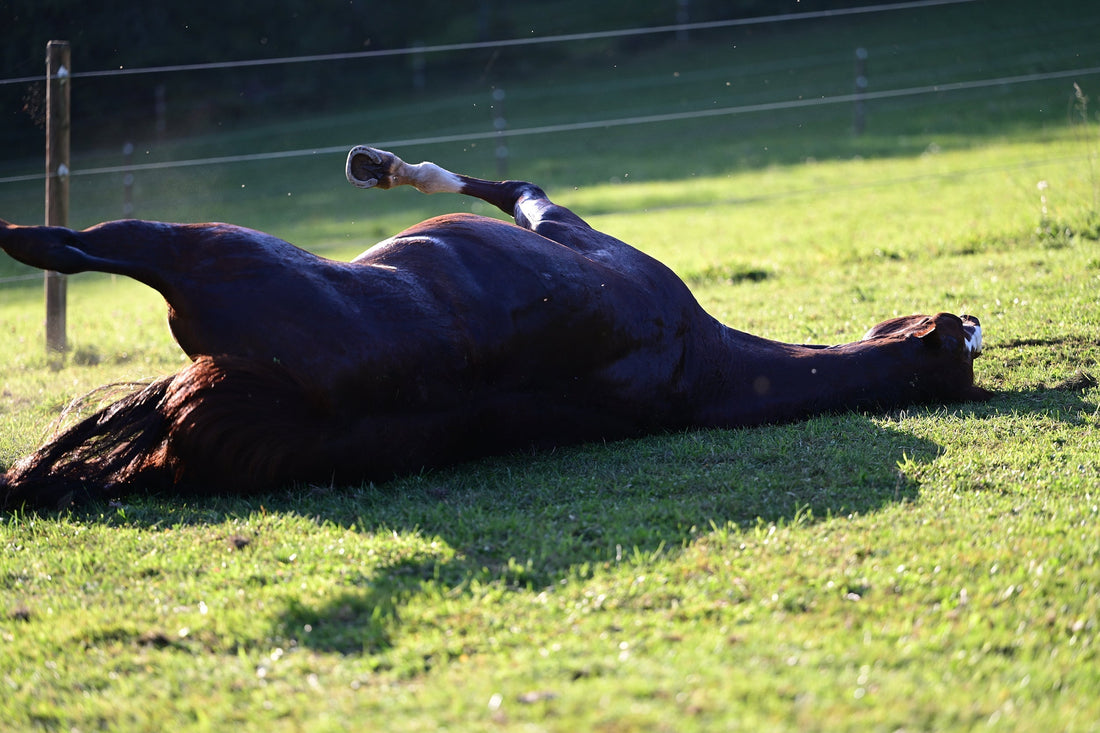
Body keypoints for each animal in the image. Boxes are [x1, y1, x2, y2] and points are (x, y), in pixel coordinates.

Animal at [0, 146, 989, 510]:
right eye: (965, 346)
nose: (975, 321)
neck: (700, 360)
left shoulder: (566, 227)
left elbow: (507, 181)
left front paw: (379, 166)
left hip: (204, 253)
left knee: (79, 245)